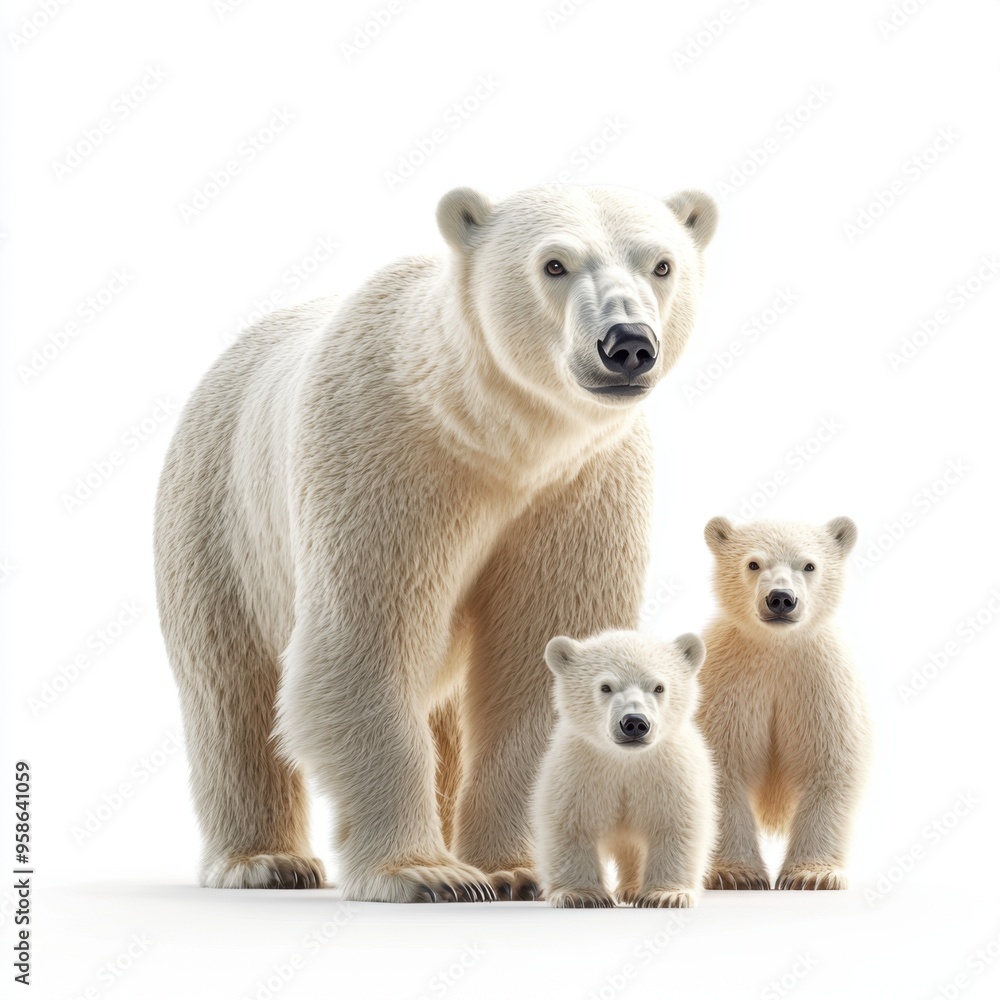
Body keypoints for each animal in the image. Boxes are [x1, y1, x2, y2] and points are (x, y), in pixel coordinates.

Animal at [533, 630, 716, 908]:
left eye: (658, 687)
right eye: (605, 686)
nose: (635, 723)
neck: (626, 761)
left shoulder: (670, 773)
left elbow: (676, 824)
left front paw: (666, 895)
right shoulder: (578, 772)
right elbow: (570, 824)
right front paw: (582, 895)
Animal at [697, 516, 873, 890]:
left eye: (809, 565)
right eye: (753, 563)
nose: (780, 598)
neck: (777, 647)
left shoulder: (818, 682)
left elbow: (828, 764)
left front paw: (812, 875)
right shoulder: (730, 683)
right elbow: (723, 766)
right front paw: (736, 875)